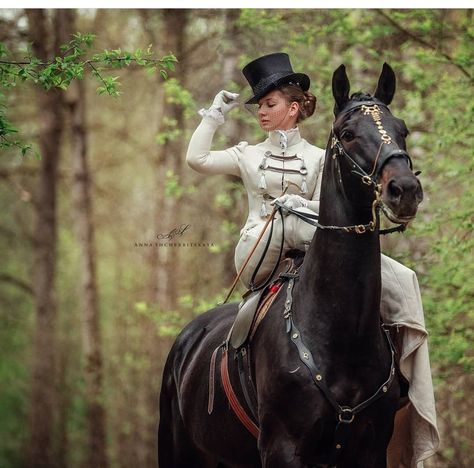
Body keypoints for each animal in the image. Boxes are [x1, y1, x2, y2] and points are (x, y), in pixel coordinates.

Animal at [158, 65, 422, 468]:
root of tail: (186, 340)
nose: (405, 191)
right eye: (347, 133)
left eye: (402, 129)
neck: (339, 336)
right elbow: (199, 157)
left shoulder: (372, 449)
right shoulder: (282, 448)